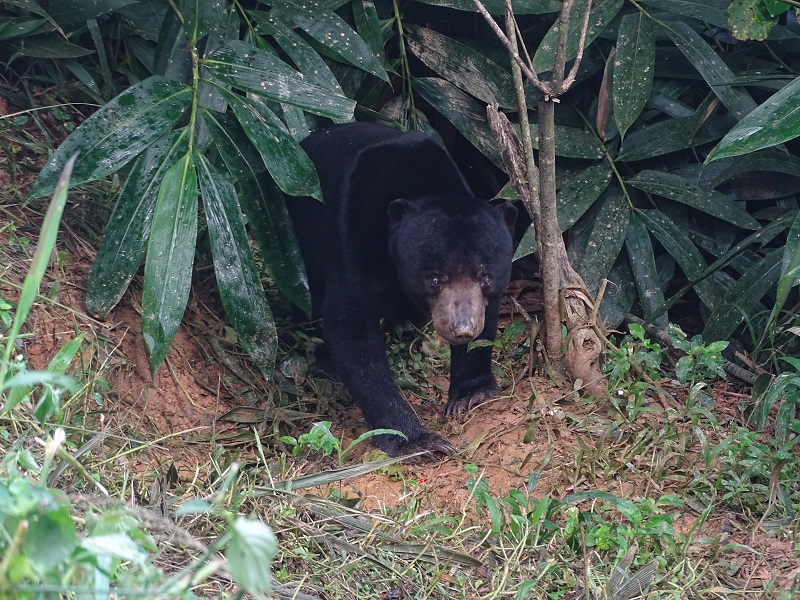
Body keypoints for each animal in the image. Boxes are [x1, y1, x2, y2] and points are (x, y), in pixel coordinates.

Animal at [287, 122, 516, 458]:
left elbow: (488, 319)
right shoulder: (357, 243)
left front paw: (471, 395)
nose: (462, 328)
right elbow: (350, 327)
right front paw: (419, 441)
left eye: (485, 277)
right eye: (434, 278)